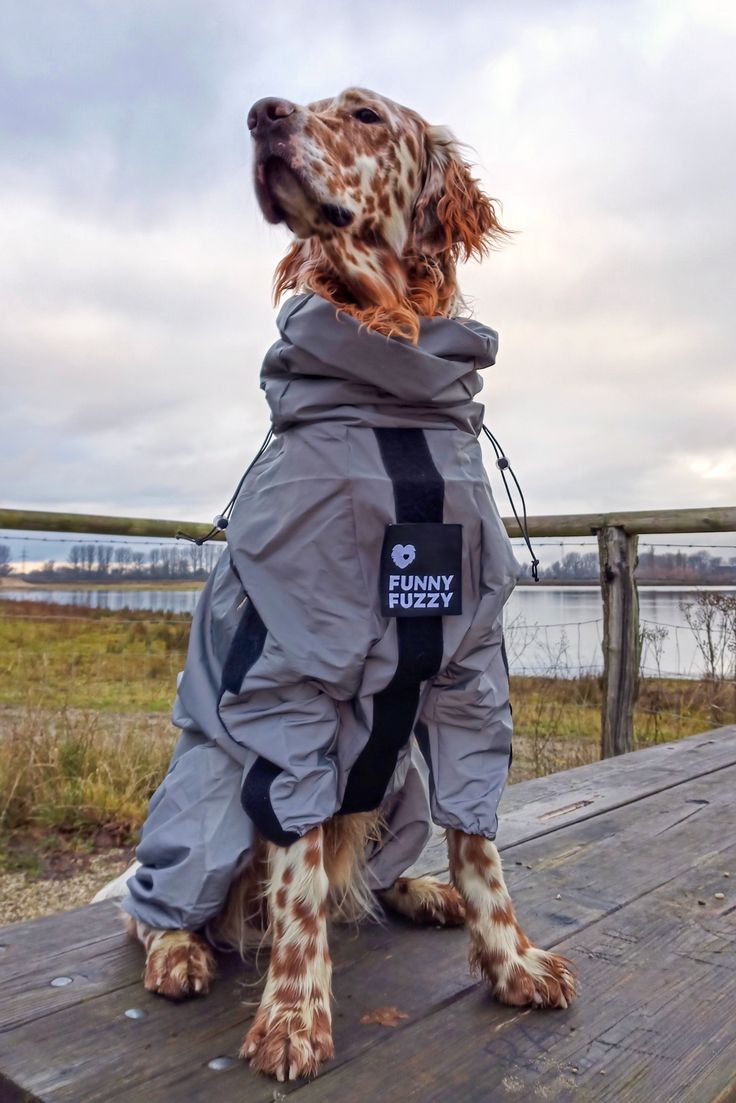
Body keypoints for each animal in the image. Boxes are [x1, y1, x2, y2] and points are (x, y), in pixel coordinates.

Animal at [113, 88, 573, 1085]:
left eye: (363, 114)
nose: (261, 114)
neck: (392, 391)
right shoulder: (289, 682)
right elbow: (296, 882)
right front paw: (293, 1016)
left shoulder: (469, 668)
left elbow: (480, 843)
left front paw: (511, 960)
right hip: (209, 791)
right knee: (150, 897)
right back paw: (180, 948)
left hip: (398, 779)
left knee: (371, 868)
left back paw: (419, 890)